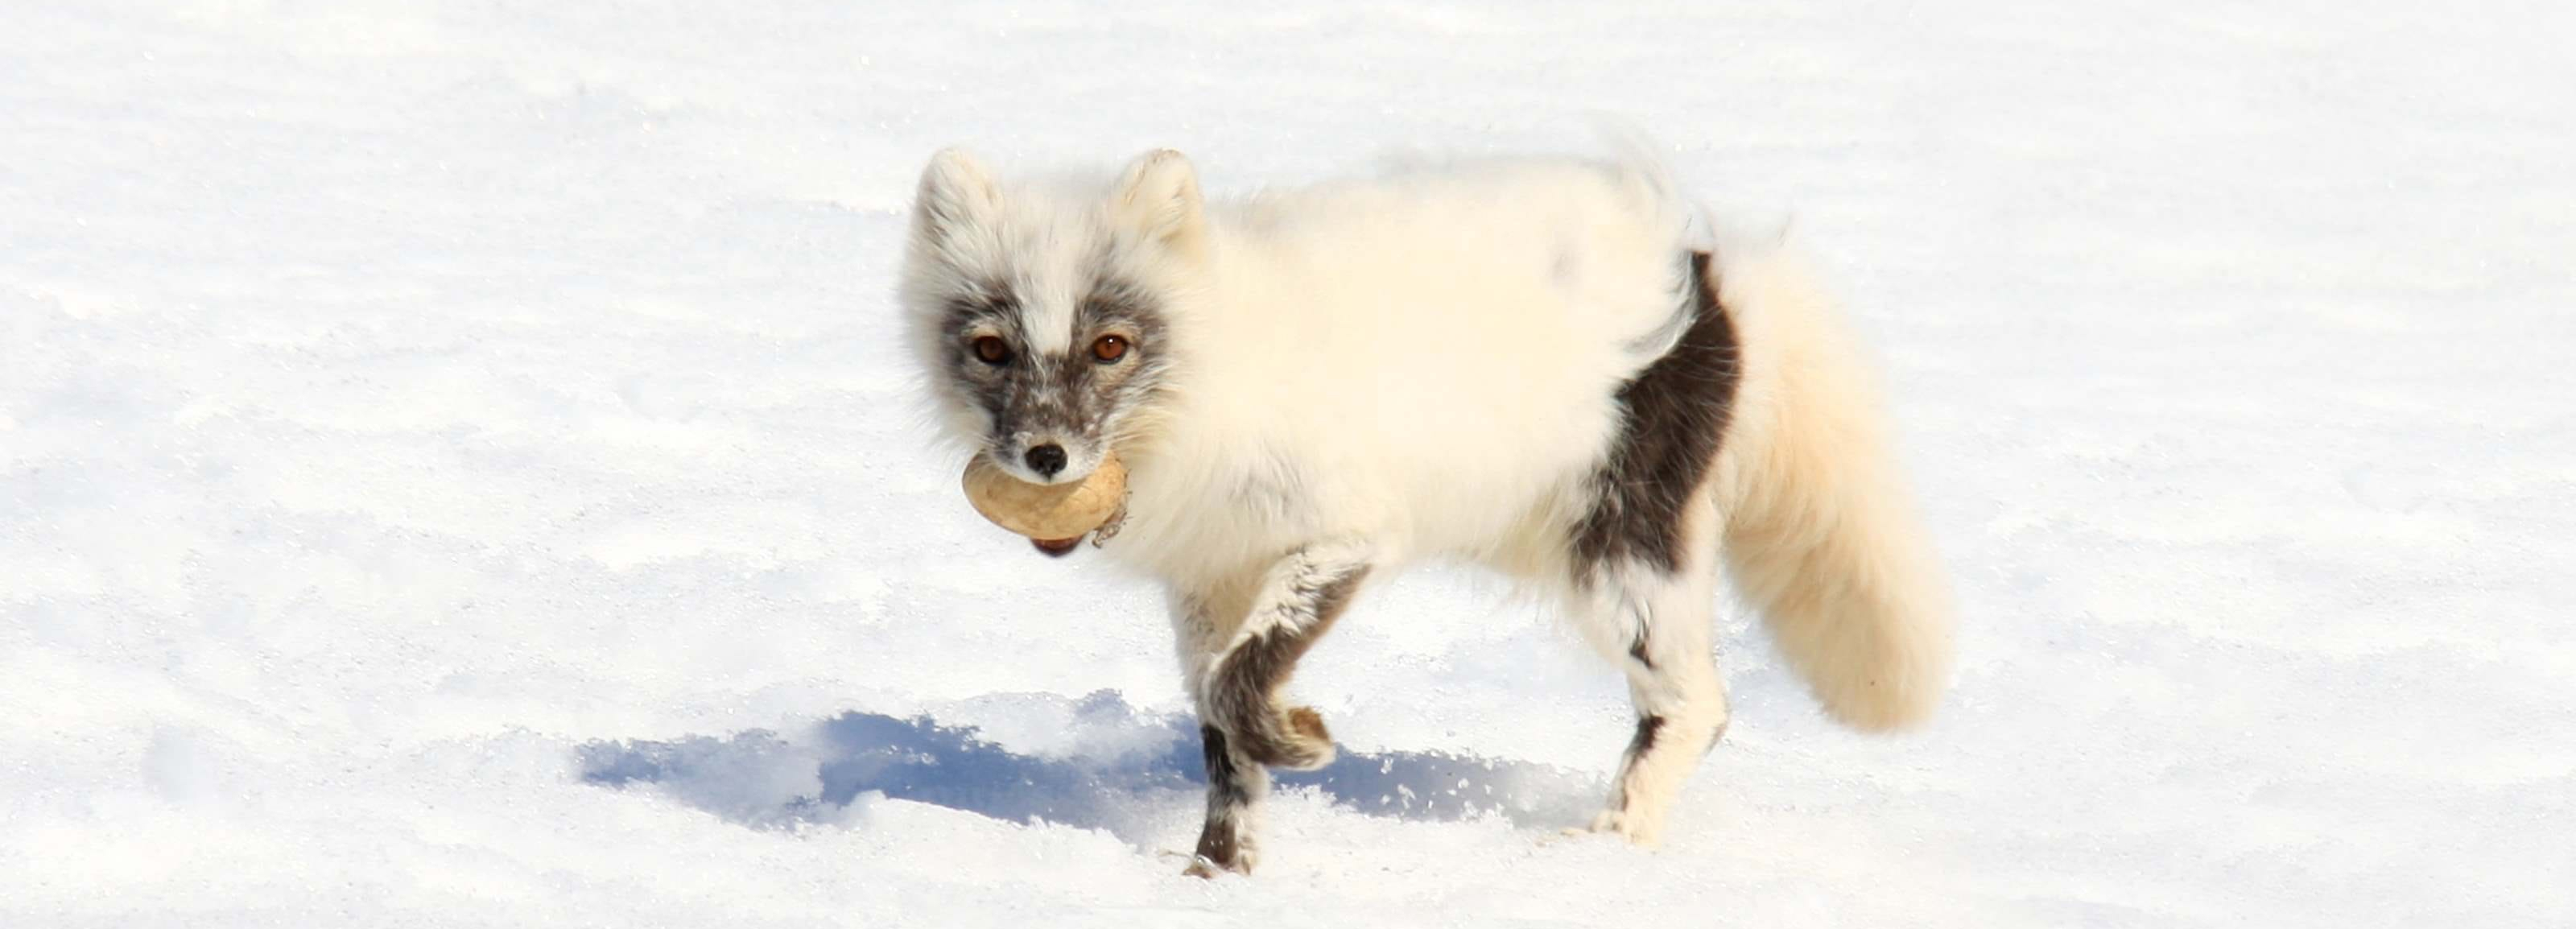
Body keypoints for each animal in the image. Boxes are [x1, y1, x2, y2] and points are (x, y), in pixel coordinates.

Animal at [902, 141, 1947, 869]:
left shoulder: (1346, 534)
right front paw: (1217, 872)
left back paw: (1607, 847)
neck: (1206, 386)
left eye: (1110, 345)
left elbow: (1243, 682)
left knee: (1697, 705)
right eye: (990, 348)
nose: (1044, 456)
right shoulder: (1206, 579)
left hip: (1617, 553)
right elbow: (1216, 720)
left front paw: (1302, 738)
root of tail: (1713, 272)